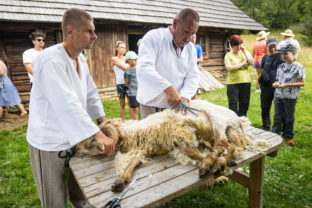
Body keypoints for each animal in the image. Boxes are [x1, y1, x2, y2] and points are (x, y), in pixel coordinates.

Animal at [76, 99, 268, 192]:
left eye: (92, 140)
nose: (74, 149)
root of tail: (238, 121)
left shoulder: (181, 131)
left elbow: (194, 151)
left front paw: (208, 165)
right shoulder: (159, 146)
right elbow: (134, 162)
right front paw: (120, 182)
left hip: (217, 122)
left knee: (222, 145)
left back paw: (216, 165)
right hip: (225, 132)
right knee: (231, 147)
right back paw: (225, 162)